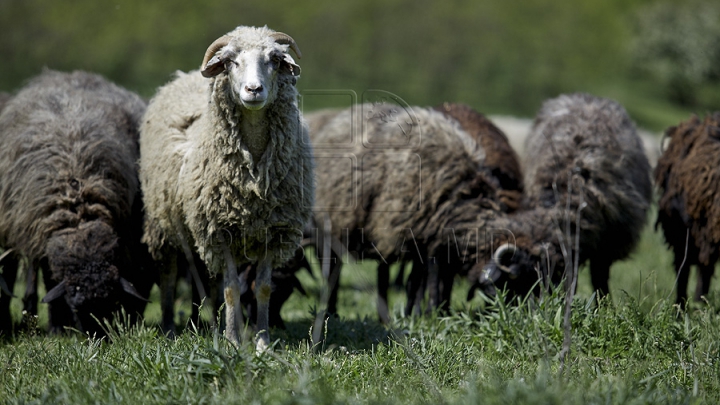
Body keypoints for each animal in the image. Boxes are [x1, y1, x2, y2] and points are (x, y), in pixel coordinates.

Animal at [0, 69, 150, 334]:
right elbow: (49, 280)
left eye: (110, 302)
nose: (96, 336)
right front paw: (57, 328)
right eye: (76, 306)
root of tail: (71, 74)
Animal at [139, 26, 314, 348]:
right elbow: (232, 288)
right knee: (169, 275)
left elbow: (262, 288)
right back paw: (169, 328)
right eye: (231, 61)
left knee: (207, 278)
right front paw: (233, 342)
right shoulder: (220, 231)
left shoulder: (273, 231)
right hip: (164, 222)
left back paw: (211, 326)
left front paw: (261, 343)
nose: (254, 90)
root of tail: (183, 76)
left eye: (274, 59)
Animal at [472, 92, 652, 300]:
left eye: (512, 284)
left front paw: (603, 303)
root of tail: (587, 96)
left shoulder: (607, 246)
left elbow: (599, 277)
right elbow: (571, 278)